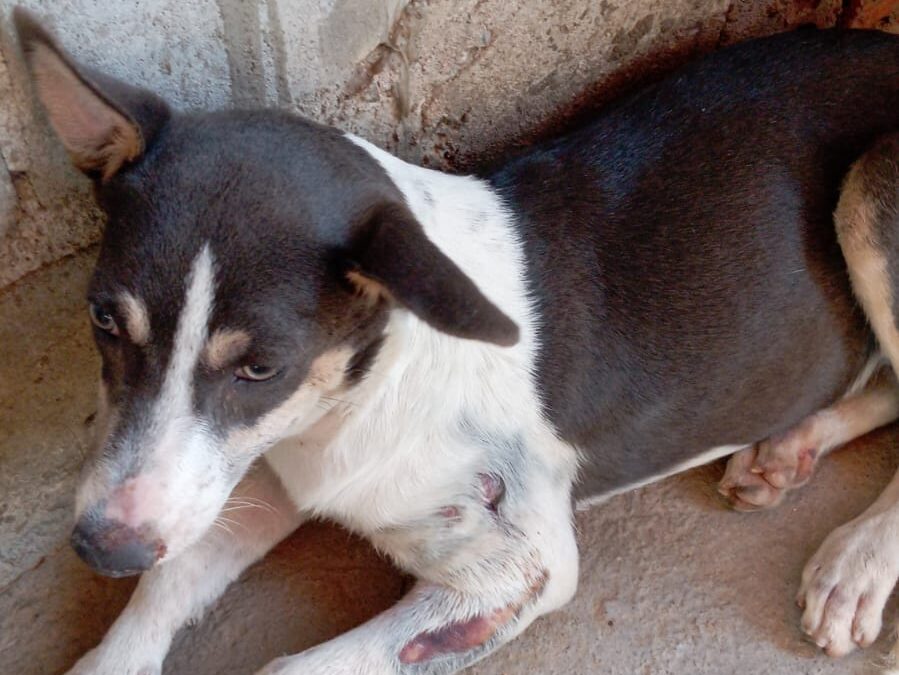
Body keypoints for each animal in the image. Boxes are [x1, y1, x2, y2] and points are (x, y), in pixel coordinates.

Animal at [12, 6, 899, 675]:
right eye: (103, 320)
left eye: (261, 366)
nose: (101, 549)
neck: (365, 389)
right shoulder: (254, 464)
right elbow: (169, 578)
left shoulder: (516, 568)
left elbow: (290, 663)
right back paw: (786, 449)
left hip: (869, 189)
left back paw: (855, 561)